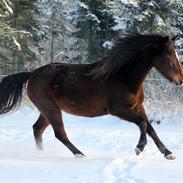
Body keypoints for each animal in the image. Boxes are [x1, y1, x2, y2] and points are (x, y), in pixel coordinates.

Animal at [0, 33, 183, 159]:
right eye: (170, 55)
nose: (180, 80)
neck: (123, 76)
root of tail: (31, 75)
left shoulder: (138, 107)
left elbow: (150, 127)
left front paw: (168, 154)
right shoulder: (119, 110)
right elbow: (143, 124)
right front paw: (139, 148)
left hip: (46, 110)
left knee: (37, 129)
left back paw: (42, 153)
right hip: (50, 109)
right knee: (59, 133)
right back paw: (80, 154)